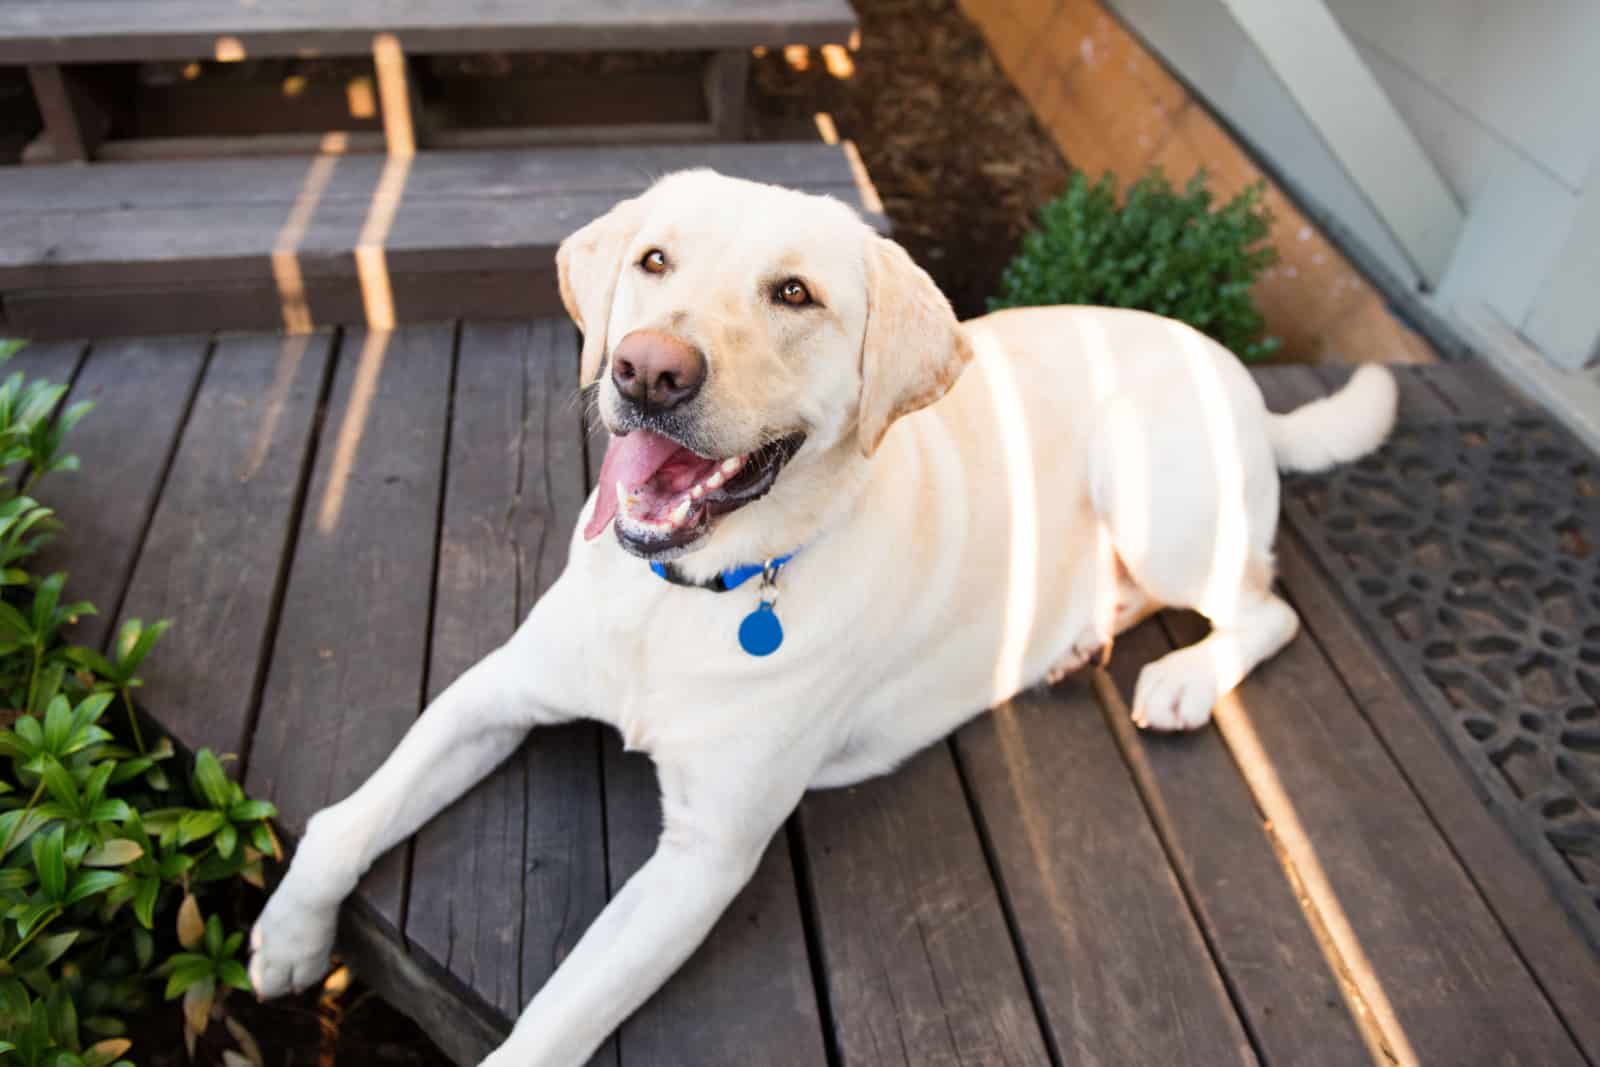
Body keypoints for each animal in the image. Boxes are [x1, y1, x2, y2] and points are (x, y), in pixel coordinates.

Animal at [243, 171, 1395, 1062]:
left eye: (794, 293)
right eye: (653, 261)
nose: (646, 368)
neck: (693, 595)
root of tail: (1241, 379)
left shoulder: (703, 856)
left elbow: (556, 1018)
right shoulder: (496, 691)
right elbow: (349, 819)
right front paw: (291, 933)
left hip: (1149, 482)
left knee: (1267, 605)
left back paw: (1185, 675)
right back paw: (1077, 638)